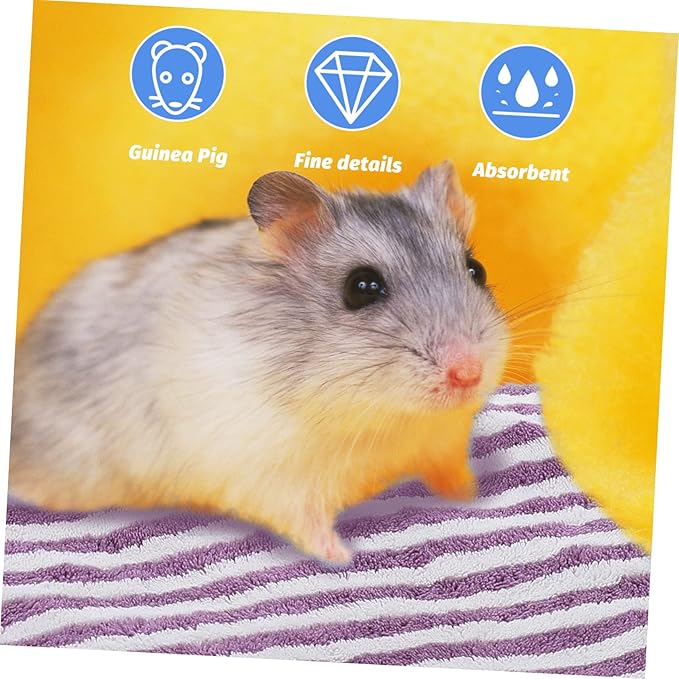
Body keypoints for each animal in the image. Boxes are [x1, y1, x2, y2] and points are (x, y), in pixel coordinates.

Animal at [8, 162, 508, 563]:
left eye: (477, 270)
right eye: (361, 288)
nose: (468, 374)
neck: (382, 419)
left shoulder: (443, 444)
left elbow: (454, 474)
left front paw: (471, 499)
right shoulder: (274, 477)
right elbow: (306, 523)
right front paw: (344, 558)